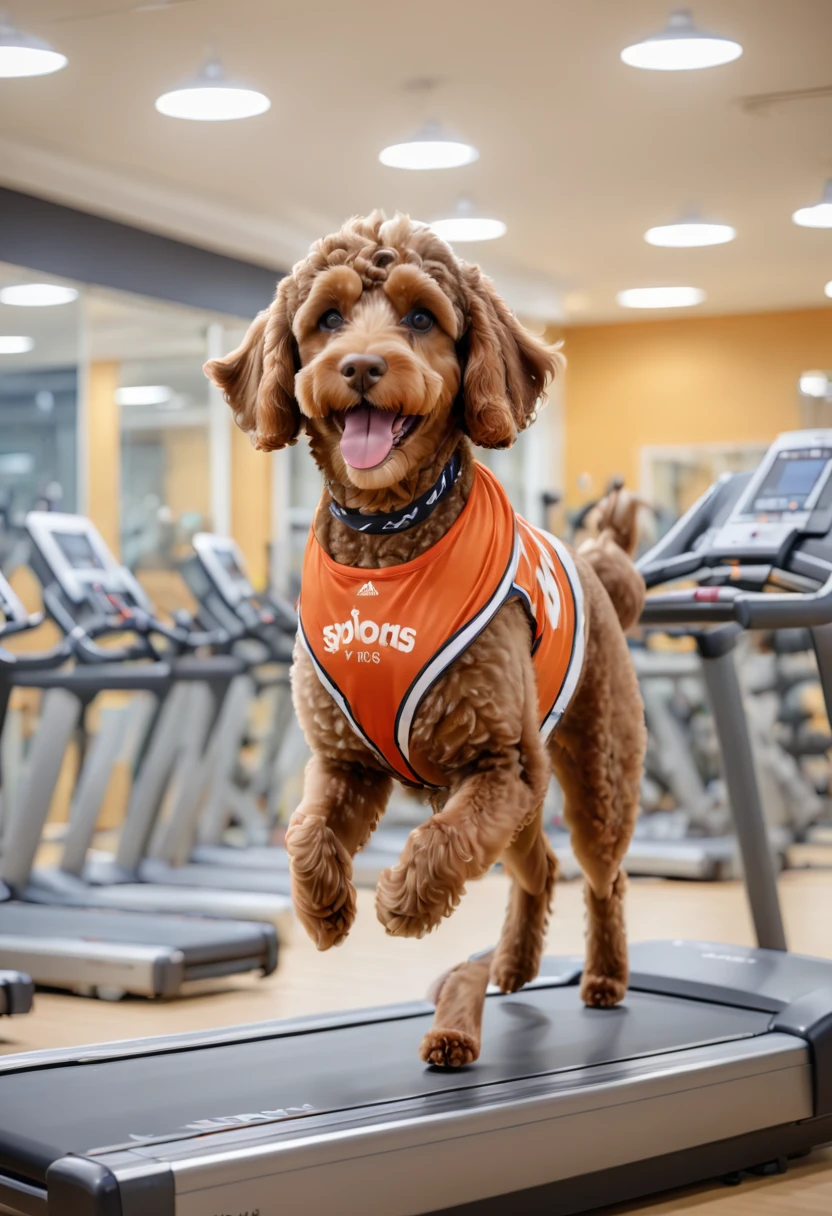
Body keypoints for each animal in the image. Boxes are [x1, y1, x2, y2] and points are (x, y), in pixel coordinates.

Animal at [204, 214, 647, 1070]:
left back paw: (605, 978)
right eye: (327, 318)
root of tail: (598, 562)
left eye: (419, 317)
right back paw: (511, 965)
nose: (362, 365)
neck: (389, 541)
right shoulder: (343, 759)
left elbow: (443, 840)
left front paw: (405, 902)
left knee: (601, 876)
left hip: (592, 778)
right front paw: (325, 911)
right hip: (526, 799)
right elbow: (303, 832)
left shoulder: (498, 764)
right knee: (539, 870)